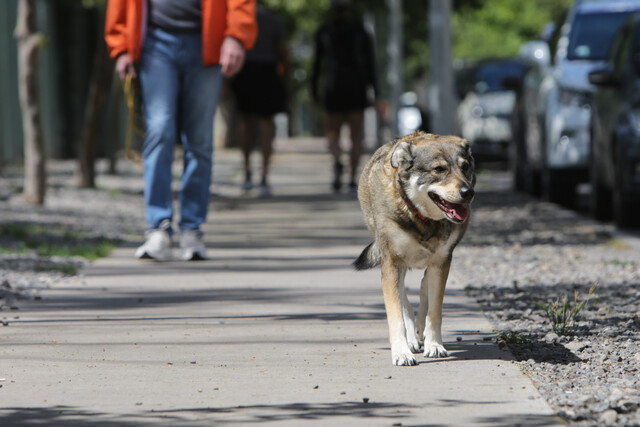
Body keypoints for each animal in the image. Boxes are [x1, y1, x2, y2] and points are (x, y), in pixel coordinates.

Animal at [356, 132, 476, 366]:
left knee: (424, 285)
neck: (420, 217)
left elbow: (434, 311)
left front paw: (435, 345)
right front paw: (402, 352)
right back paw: (411, 339)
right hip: (398, 265)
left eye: (465, 167)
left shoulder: (442, 260)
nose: (468, 192)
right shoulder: (392, 263)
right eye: (439, 169)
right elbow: (396, 314)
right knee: (404, 300)